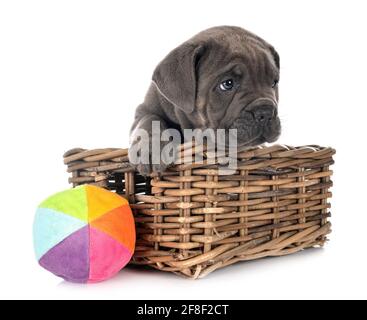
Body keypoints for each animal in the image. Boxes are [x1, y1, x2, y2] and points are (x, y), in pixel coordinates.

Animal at [129, 25, 282, 175]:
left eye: (274, 83)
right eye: (227, 84)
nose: (265, 112)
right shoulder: (143, 110)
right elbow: (149, 120)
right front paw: (150, 149)